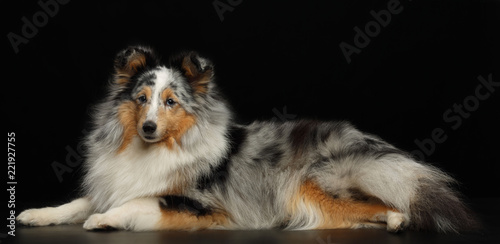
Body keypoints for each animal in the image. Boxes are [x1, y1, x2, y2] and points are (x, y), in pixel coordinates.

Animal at [17, 45, 478, 233]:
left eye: (171, 102)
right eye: (142, 99)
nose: (147, 127)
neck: (152, 150)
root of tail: (358, 138)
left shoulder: (202, 206)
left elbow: (138, 203)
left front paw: (103, 220)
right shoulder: (113, 184)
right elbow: (75, 203)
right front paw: (36, 215)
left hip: (306, 185)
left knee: (380, 202)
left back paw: (400, 218)